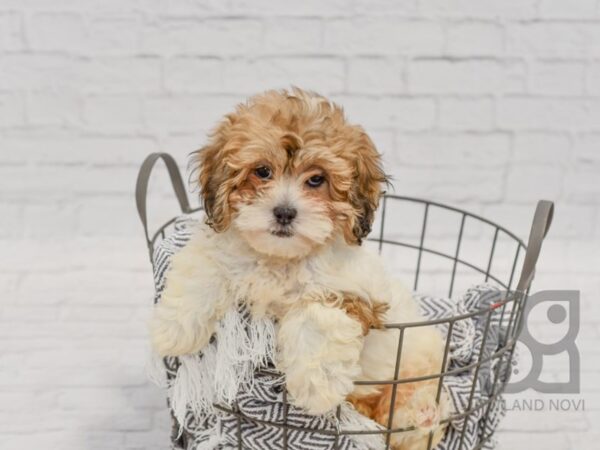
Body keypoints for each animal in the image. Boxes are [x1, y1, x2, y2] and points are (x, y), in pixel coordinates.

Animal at [150, 88, 450, 450]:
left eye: (317, 179)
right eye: (263, 171)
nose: (284, 212)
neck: (282, 259)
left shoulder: (350, 291)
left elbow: (316, 316)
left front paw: (316, 388)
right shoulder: (223, 249)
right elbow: (204, 269)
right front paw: (173, 330)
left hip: (415, 362)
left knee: (411, 406)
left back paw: (419, 413)